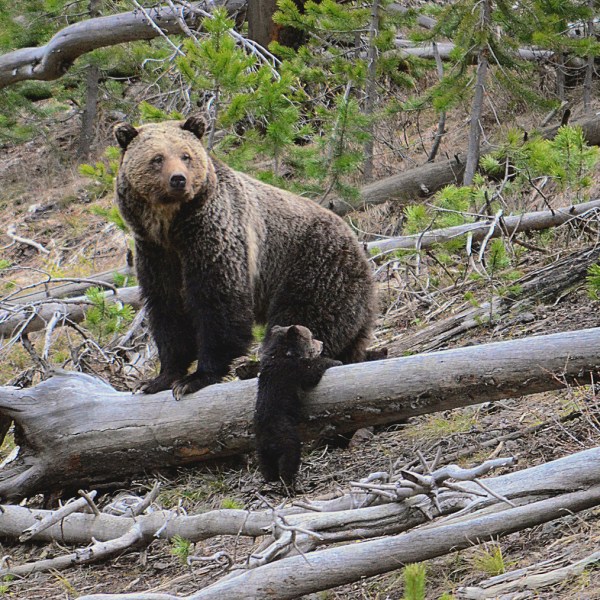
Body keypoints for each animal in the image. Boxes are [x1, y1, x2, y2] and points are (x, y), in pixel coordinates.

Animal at [113, 115, 376, 400]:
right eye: (157, 158)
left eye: (186, 155)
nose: (178, 179)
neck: (171, 227)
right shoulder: (155, 253)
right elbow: (168, 310)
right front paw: (158, 379)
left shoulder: (214, 236)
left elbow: (218, 303)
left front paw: (196, 378)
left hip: (315, 266)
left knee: (303, 318)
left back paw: (259, 365)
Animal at [253, 324, 340, 482]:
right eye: (311, 337)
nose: (322, 343)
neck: (285, 353)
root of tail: (268, 440)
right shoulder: (294, 369)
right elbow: (312, 371)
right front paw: (335, 361)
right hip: (286, 437)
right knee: (290, 457)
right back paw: (290, 480)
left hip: (261, 449)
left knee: (266, 466)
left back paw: (270, 478)